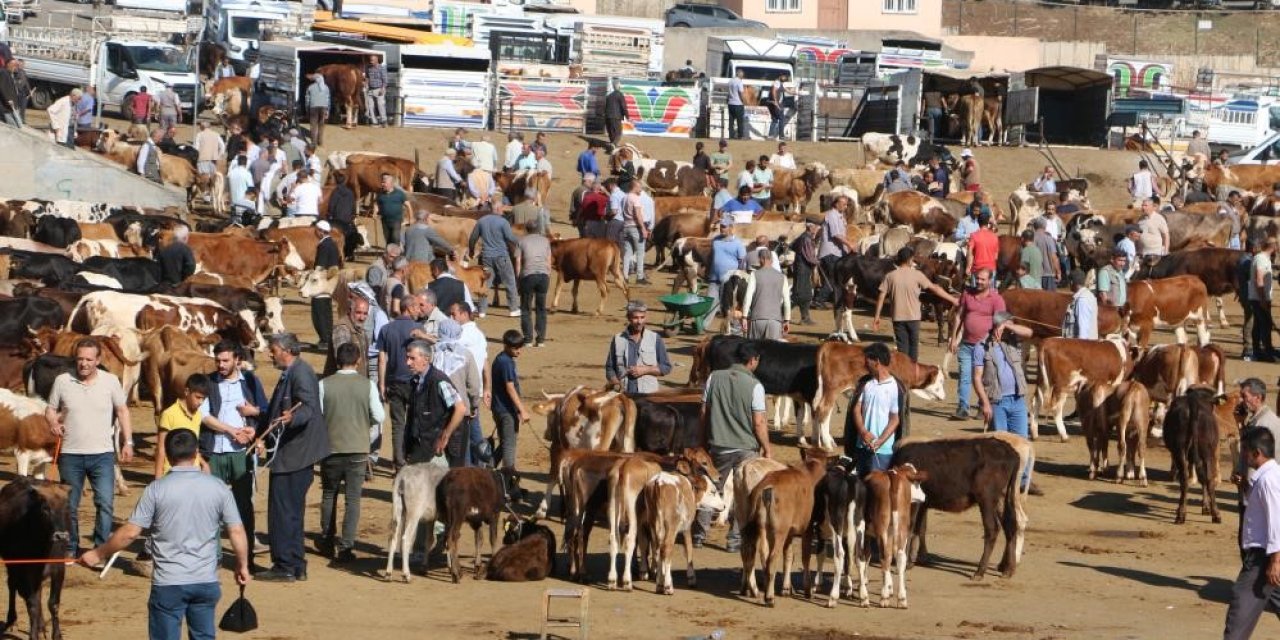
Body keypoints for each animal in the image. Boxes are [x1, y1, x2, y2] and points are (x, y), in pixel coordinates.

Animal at [0, 478, 69, 640]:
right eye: (45, 508)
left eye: (65, 507)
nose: (61, 536)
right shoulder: (27, 572)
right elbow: (32, 604)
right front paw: (33, 635)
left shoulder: (59, 570)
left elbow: (53, 603)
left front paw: (56, 634)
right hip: (12, 566)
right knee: (12, 585)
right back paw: (12, 622)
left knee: (38, 592)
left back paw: (41, 626)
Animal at [742, 455, 829, 604]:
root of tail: (767, 489)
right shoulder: (807, 529)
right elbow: (805, 557)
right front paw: (808, 590)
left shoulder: (789, 533)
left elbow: (788, 555)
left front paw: (786, 588)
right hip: (779, 532)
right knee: (771, 558)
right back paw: (769, 597)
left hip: (756, 527)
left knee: (751, 553)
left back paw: (752, 589)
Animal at [814, 343, 947, 448]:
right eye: (940, 381)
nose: (945, 396)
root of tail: (831, 345)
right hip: (833, 388)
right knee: (824, 410)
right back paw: (827, 444)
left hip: (823, 389)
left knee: (816, 408)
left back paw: (817, 442)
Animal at [896, 435, 1034, 581]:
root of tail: (1010, 452)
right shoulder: (923, 504)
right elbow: (920, 528)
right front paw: (917, 559)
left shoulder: (913, 502)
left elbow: (910, 528)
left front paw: (906, 563)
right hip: (1002, 497)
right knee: (1010, 526)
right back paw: (1007, 569)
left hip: (986, 499)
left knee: (992, 529)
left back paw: (980, 571)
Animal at [1162, 384, 1218, 524]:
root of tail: (1193, 404)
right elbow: (1204, 479)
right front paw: (1206, 507)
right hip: (1207, 451)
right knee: (1208, 479)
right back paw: (1216, 514)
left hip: (1180, 451)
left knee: (1185, 479)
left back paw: (1181, 514)